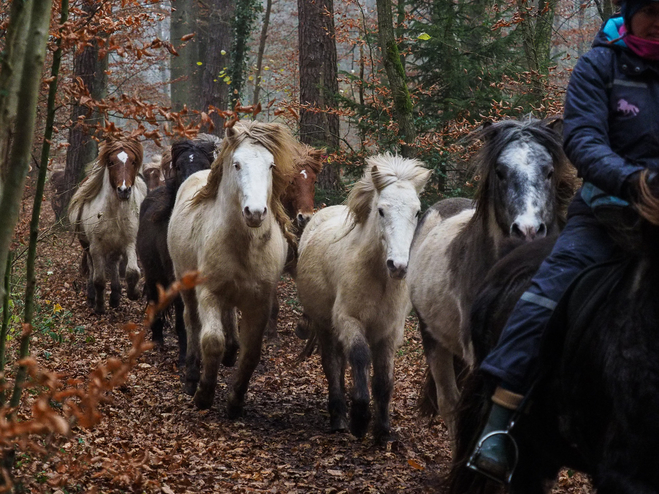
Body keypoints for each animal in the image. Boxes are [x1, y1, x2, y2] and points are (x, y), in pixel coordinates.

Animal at [68, 139, 147, 312]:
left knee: (114, 263)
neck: (115, 213)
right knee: (92, 267)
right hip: (86, 245)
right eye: (111, 162)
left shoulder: (130, 242)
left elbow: (133, 271)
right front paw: (99, 306)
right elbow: (99, 279)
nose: (124, 190)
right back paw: (92, 297)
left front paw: (133, 294)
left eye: (133, 162)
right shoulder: (96, 247)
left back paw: (115, 296)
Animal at [137, 137, 217, 364]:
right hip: (152, 273)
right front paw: (184, 355)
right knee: (154, 300)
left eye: (205, 165)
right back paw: (157, 339)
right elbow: (183, 317)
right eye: (179, 166)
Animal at [168, 120, 296, 416]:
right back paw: (192, 376)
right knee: (192, 324)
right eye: (237, 164)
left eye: (271, 165)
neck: (243, 245)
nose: (255, 212)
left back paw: (230, 352)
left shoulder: (259, 302)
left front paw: (235, 400)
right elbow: (211, 341)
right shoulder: (209, 293)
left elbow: (252, 353)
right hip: (187, 285)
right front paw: (204, 394)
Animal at [296, 152, 430, 438]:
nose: (398, 266)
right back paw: (339, 416)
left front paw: (382, 430)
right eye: (381, 210)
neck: (379, 279)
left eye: (416, 211)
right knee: (332, 364)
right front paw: (359, 418)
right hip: (324, 325)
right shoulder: (349, 320)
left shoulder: (390, 331)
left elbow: (384, 379)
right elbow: (359, 357)